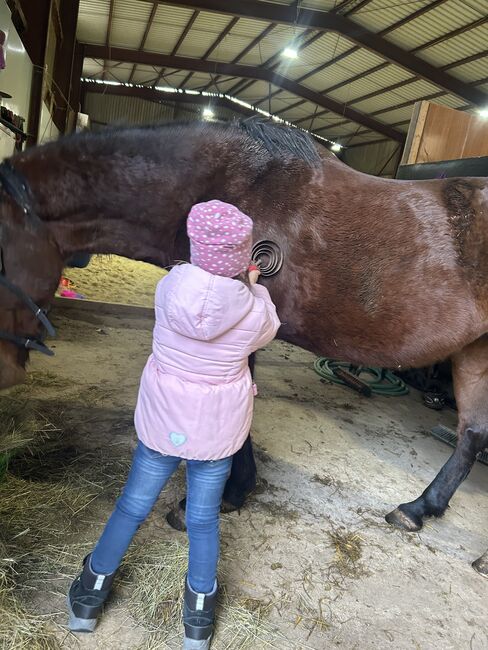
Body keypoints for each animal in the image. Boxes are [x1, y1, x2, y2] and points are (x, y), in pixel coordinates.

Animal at [0, 120, 486, 572]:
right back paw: (418, 510)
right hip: (475, 353)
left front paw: (224, 495)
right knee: (472, 435)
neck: (231, 185)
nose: (7, 372)